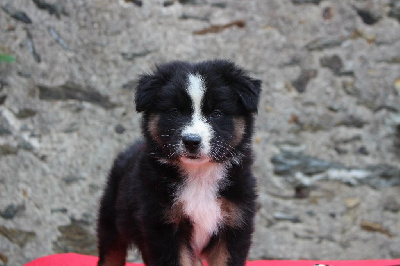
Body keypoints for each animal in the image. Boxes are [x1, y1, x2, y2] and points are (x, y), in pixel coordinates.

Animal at [97, 60, 262, 266]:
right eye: (175, 112)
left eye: (216, 113)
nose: (191, 141)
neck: (199, 175)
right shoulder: (163, 226)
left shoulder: (234, 223)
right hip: (112, 216)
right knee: (111, 251)